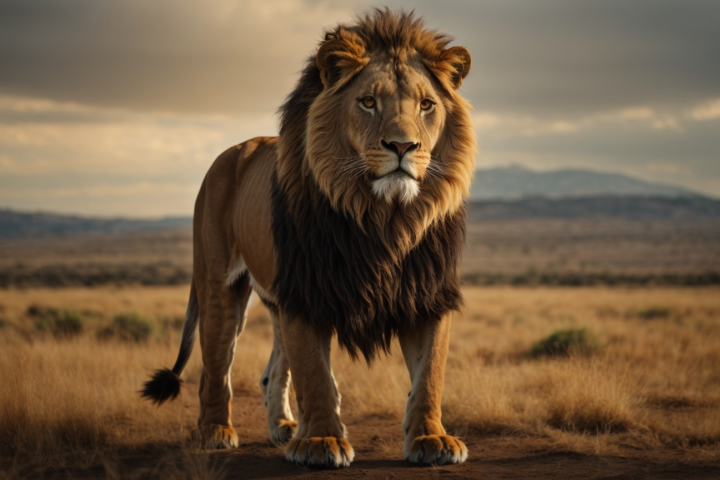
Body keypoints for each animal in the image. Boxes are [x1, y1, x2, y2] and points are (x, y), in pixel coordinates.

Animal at [141, 9, 476, 468]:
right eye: (368, 102)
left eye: (427, 105)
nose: (403, 146)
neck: (385, 218)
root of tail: (234, 150)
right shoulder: (306, 288)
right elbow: (315, 374)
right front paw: (320, 442)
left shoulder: (427, 291)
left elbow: (430, 373)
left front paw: (432, 439)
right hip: (219, 287)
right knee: (215, 367)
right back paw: (215, 431)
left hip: (274, 297)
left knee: (270, 373)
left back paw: (283, 427)